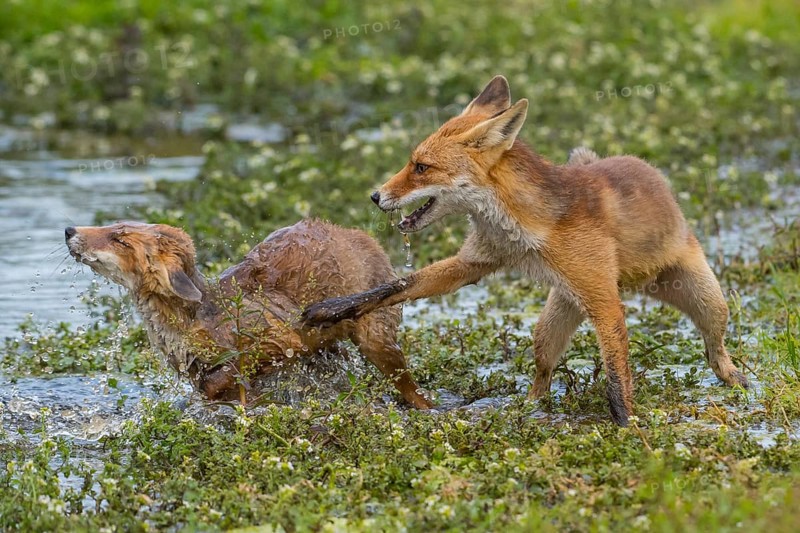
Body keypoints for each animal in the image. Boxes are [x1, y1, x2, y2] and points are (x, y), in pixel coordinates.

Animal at [65, 219, 432, 409]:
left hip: (375, 336)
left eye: (119, 239)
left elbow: (222, 377)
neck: (199, 319)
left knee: (409, 385)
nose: (70, 230)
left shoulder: (279, 338)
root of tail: (364, 236)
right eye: (111, 225)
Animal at [302, 75, 748, 426]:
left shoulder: (604, 299)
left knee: (715, 348)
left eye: (421, 167)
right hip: (554, 319)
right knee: (542, 373)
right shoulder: (475, 262)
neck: (528, 229)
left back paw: (736, 379)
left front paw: (629, 429)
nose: (376, 196)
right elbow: (392, 288)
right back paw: (528, 409)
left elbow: (617, 377)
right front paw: (330, 309)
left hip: (707, 301)